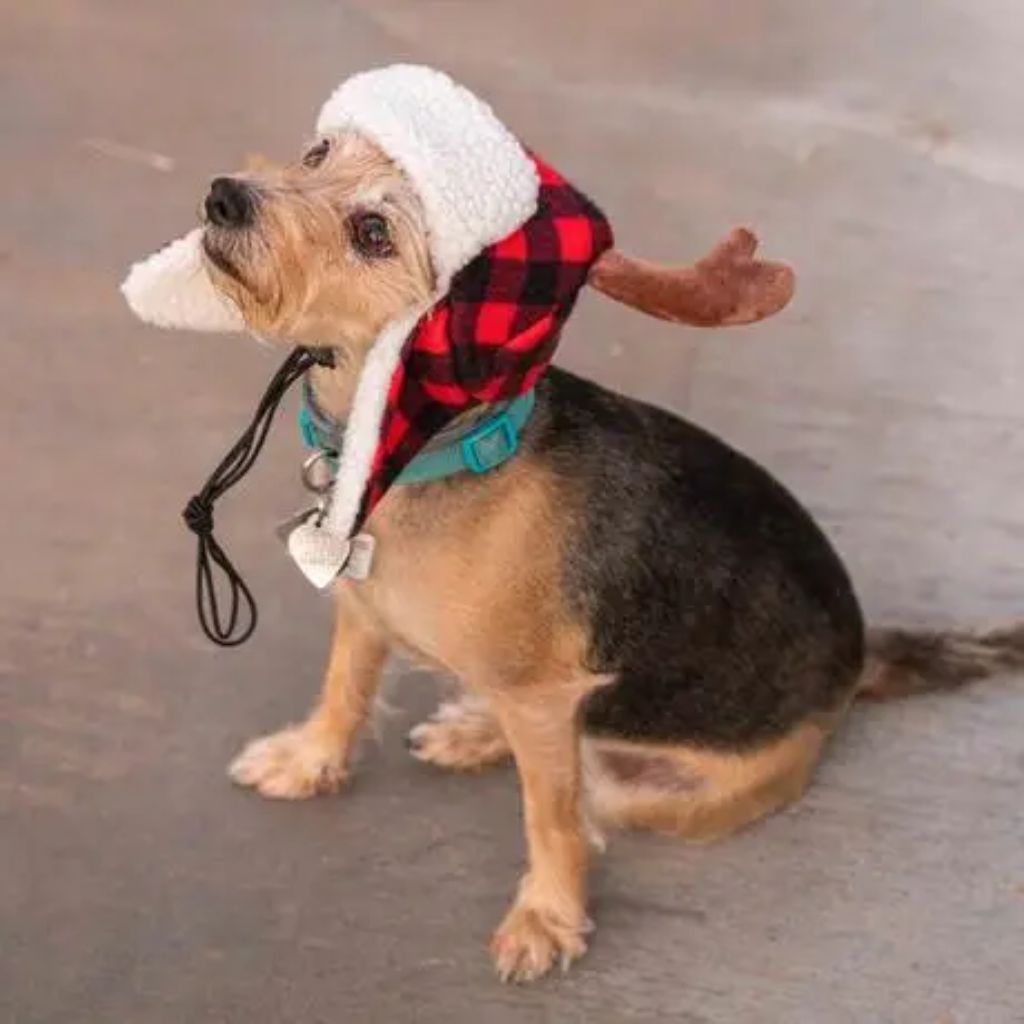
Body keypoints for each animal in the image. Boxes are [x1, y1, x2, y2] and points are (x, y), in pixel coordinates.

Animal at [121, 66, 1024, 983]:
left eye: (373, 231)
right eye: (316, 156)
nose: (225, 195)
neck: (428, 450)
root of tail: (860, 659)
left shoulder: (541, 709)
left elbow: (550, 820)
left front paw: (548, 916)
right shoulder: (363, 613)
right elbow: (344, 689)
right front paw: (311, 760)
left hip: (640, 774)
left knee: (581, 786)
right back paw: (475, 727)